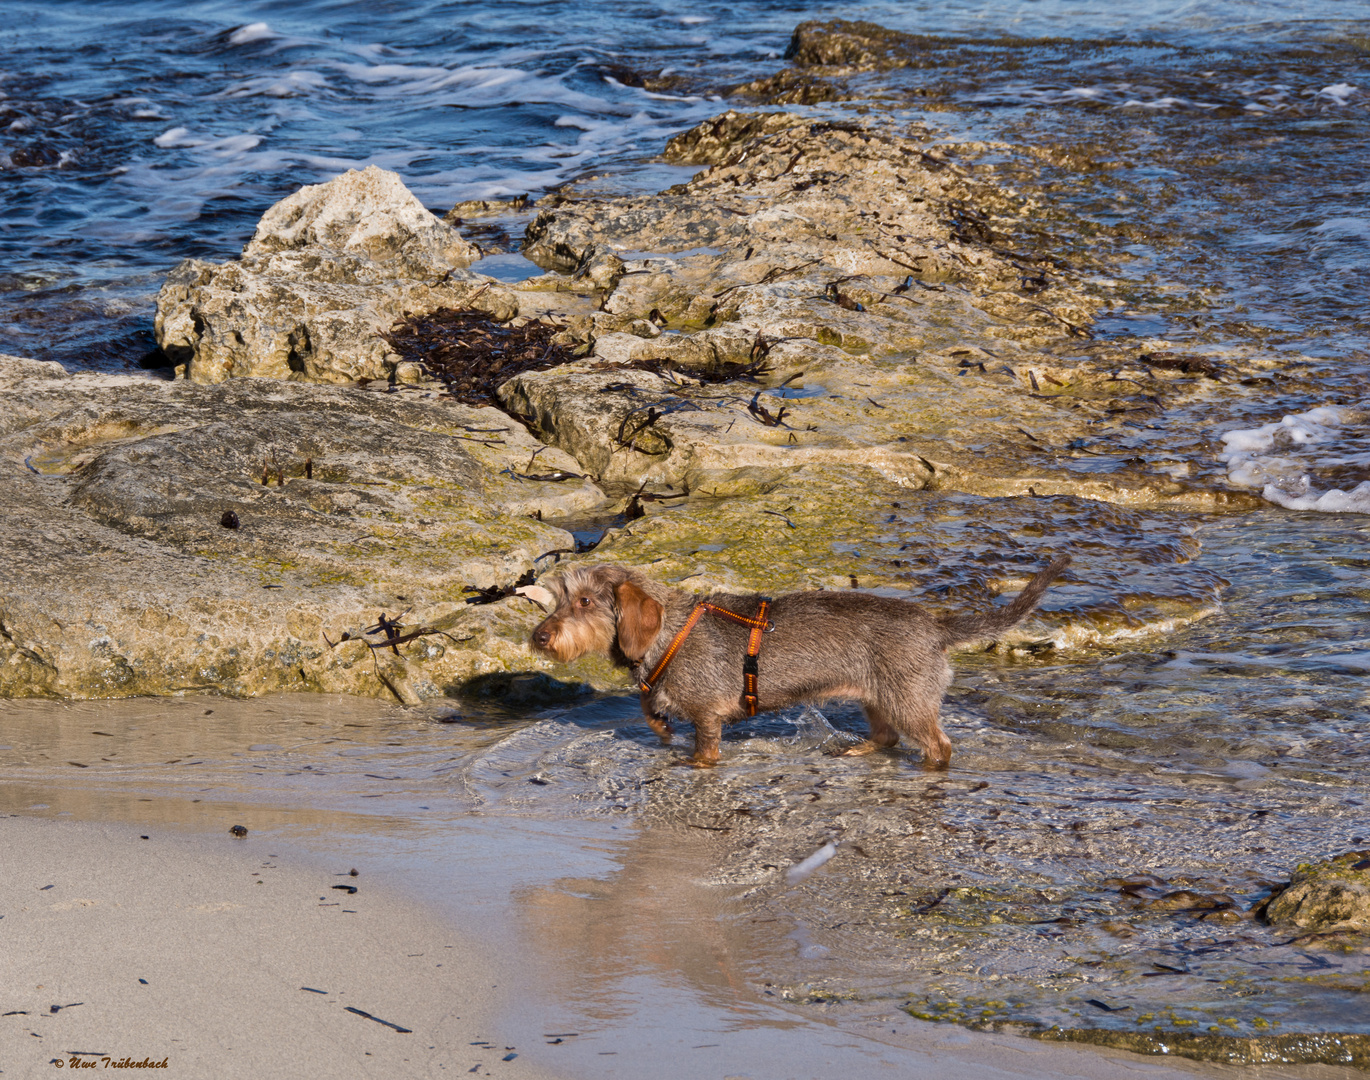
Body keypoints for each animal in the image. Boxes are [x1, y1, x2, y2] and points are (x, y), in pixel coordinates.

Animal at [523, 556, 1068, 767]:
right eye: (558, 599)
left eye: (586, 602)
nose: (540, 636)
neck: (671, 632)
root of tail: (936, 626)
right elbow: (651, 712)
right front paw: (659, 726)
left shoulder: (708, 715)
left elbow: (704, 748)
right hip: (875, 699)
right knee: (887, 737)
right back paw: (859, 750)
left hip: (909, 701)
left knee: (938, 745)